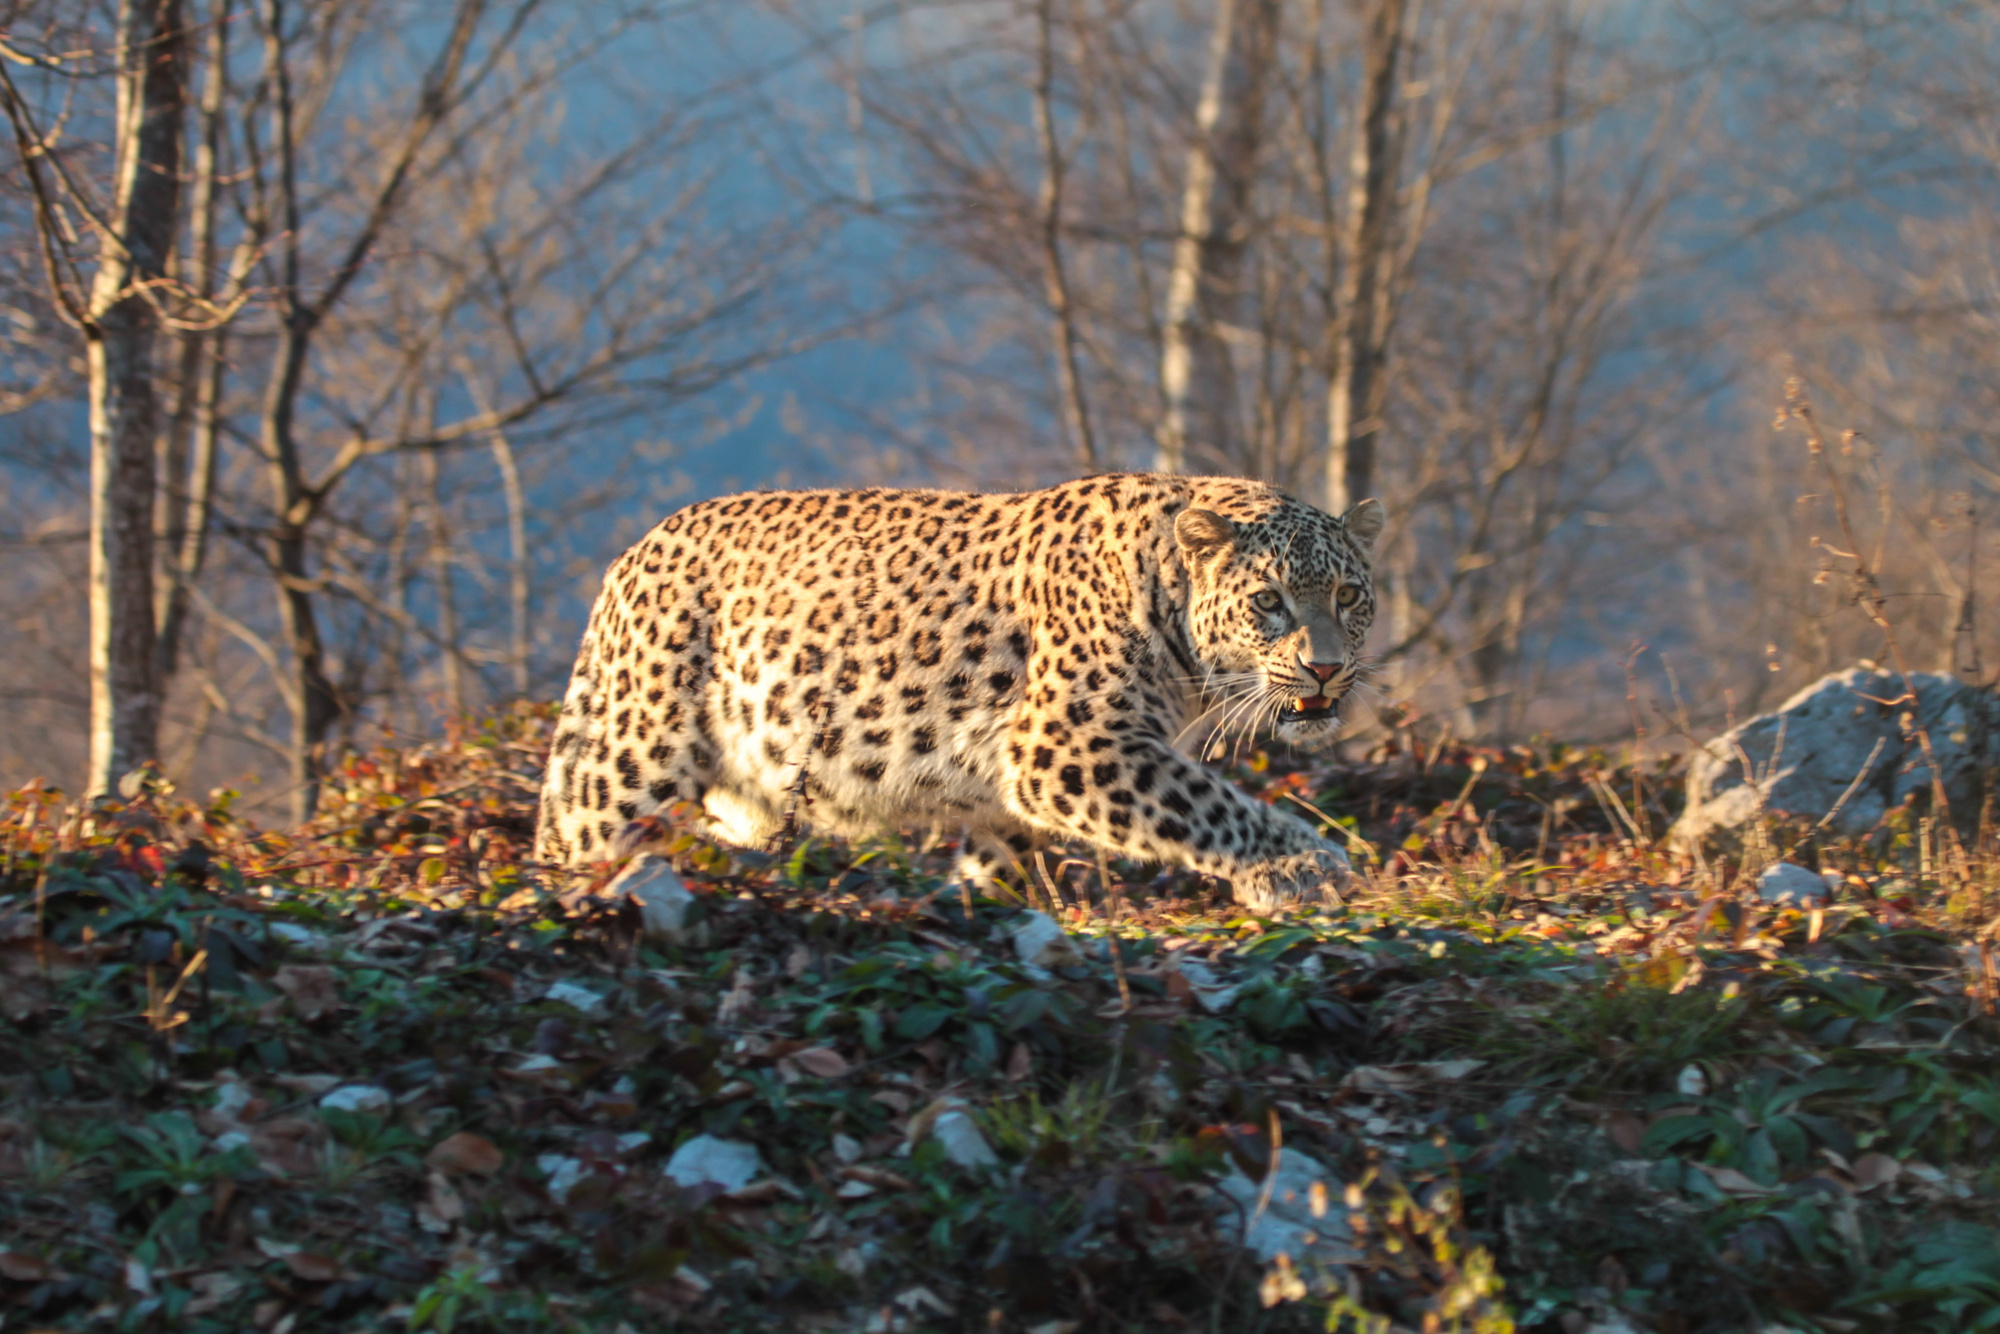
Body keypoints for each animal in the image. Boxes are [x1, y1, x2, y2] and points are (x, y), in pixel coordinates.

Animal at [532, 472, 1384, 920]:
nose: (1324, 670)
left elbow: (999, 860)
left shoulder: (1016, 788)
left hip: (743, 790)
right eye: (1269, 601)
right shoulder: (1068, 745)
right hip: (631, 758)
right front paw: (1303, 867)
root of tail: (631, 555)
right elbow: (1210, 805)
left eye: (1348, 595)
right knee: (573, 837)